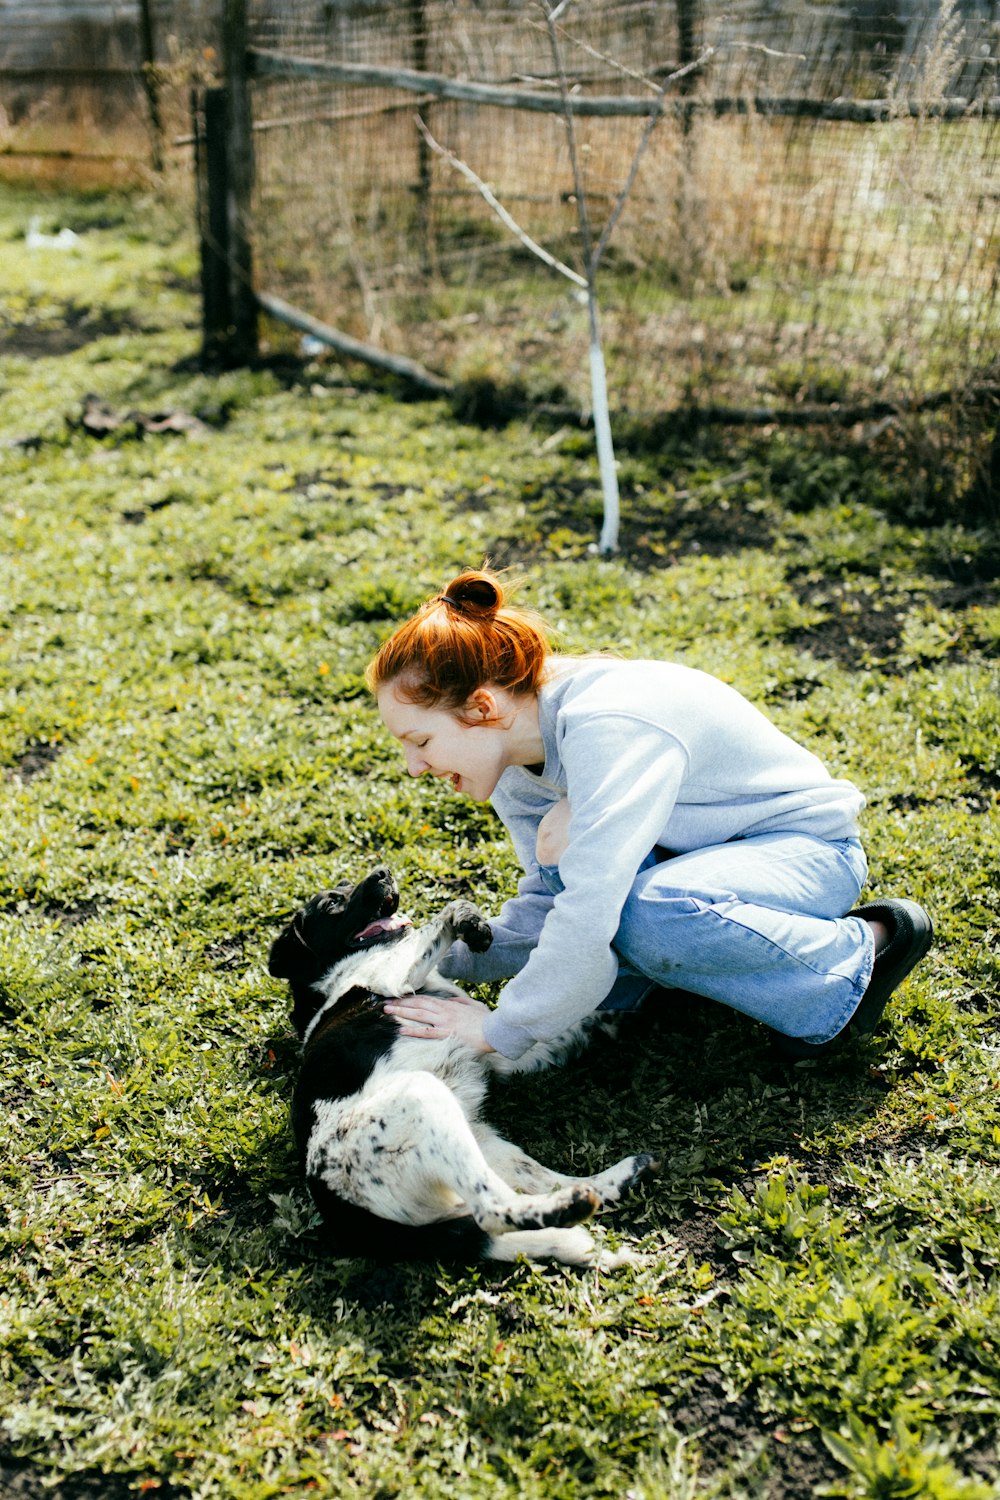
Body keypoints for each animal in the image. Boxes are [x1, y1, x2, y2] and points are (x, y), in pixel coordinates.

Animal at [268, 870, 656, 1266]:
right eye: (333, 902)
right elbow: (446, 911)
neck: (336, 979)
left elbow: (578, 1025)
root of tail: (346, 1215)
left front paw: (631, 1015)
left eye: (348, 885)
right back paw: (567, 1209)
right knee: (492, 1210)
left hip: (483, 1143)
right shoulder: (395, 976)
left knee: (539, 1187)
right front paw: (467, 920)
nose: (384, 872)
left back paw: (619, 1178)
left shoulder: (503, 1056)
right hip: (422, 1099)